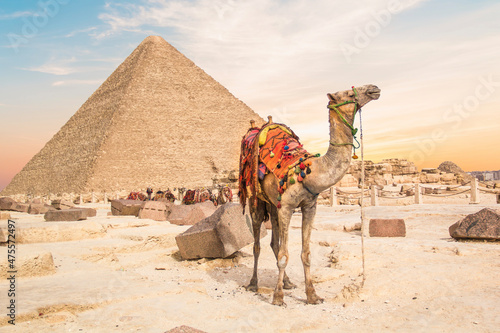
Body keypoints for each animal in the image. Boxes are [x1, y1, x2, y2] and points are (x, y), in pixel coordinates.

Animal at [241, 83, 378, 304]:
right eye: (349, 93)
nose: (374, 88)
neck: (309, 172)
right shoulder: (288, 207)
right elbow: (284, 255)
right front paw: (278, 297)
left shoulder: (309, 206)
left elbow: (305, 253)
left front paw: (312, 295)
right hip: (256, 199)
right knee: (257, 244)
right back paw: (253, 284)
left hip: (274, 203)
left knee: (274, 242)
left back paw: (288, 282)